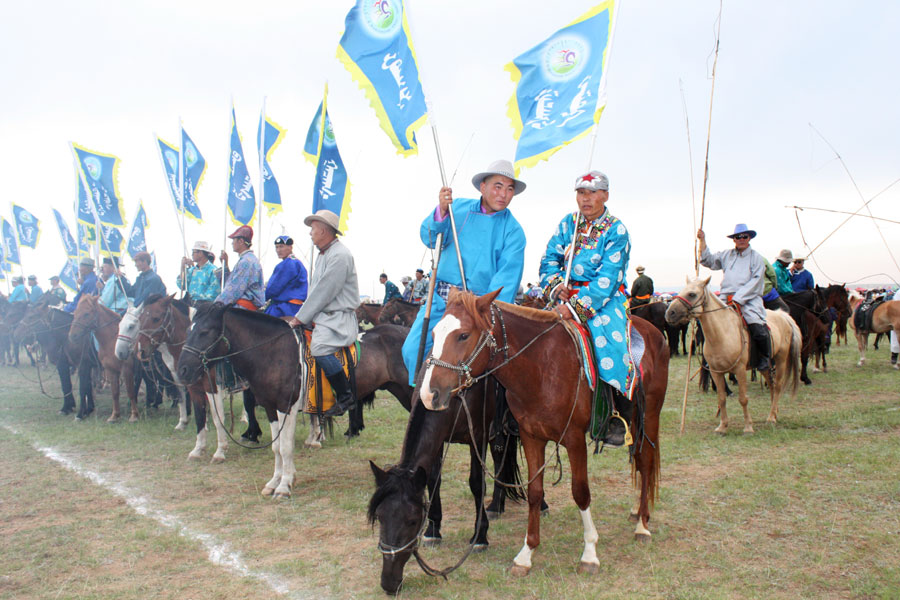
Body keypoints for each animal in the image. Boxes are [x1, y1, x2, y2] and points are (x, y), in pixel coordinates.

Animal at [177, 302, 310, 500]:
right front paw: (275, 482)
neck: (276, 353)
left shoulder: (287, 408)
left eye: (205, 331)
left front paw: (284, 487)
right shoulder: (271, 408)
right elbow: (277, 446)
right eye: (187, 330)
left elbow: (286, 447)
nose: (182, 370)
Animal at [414, 290, 668, 576]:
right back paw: (636, 512)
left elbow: (580, 492)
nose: (429, 394)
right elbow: (535, 491)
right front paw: (527, 553)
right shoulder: (530, 436)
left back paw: (642, 525)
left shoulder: (574, 440)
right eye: (434, 333)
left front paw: (590, 552)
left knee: (645, 463)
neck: (542, 366)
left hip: (649, 417)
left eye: (463, 335)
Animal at [660, 276, 800, 432]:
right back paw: (773, 413)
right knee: (772, 384)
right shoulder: (716, 372)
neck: (722, 333)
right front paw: (722, 426)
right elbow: (721, 398)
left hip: (781, 360)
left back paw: (771, 417)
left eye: (692, 294)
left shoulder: (740, 370)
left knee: (778, 385)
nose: (669, 313)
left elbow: (743, 399)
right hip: (765, 365)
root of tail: (782, 315)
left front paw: (748, 427)